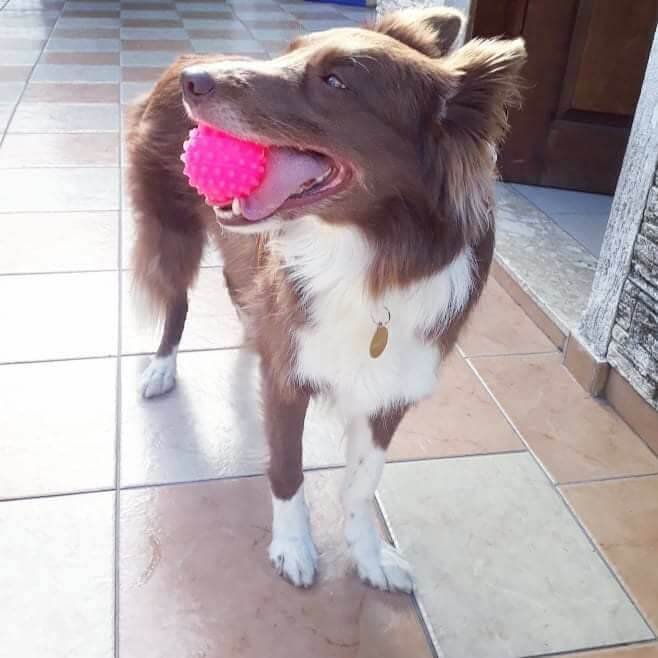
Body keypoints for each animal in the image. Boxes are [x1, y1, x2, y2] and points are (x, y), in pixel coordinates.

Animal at [127, 7, 526, 592]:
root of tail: (184, 56)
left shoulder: (391, 388)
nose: (193, 85)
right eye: (287, 54)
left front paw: (369, 555)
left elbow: (361, 483)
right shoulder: (288, 378)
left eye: (336, 82)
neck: (368, 255)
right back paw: (161, 367)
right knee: (176, 302)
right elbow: (287, 468)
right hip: (171, 229)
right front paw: (293, 546)